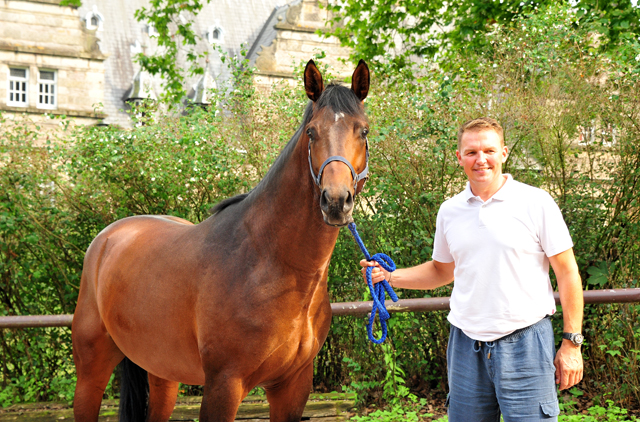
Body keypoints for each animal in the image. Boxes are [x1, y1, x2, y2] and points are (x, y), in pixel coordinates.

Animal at [71, 60, 370, 422]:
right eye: (312, 132)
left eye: (363, 131)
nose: (336, 201)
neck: (269, 261)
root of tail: (109, 236)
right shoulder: (224, 385)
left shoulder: (292, 388)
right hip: (91, 372)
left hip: (162, 374)